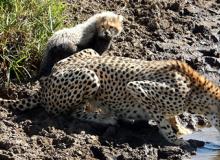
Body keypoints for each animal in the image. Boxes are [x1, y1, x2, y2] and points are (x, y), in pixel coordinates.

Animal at [0, 48, 220, 148]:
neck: (195, 90)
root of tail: (45, 81)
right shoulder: (137, 88)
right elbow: (162, 120)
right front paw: (176, 141)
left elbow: (171, 117)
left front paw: (183, 130)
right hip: (89, 77)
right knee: (71, 112)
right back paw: (106, 118)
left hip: (91, 52)